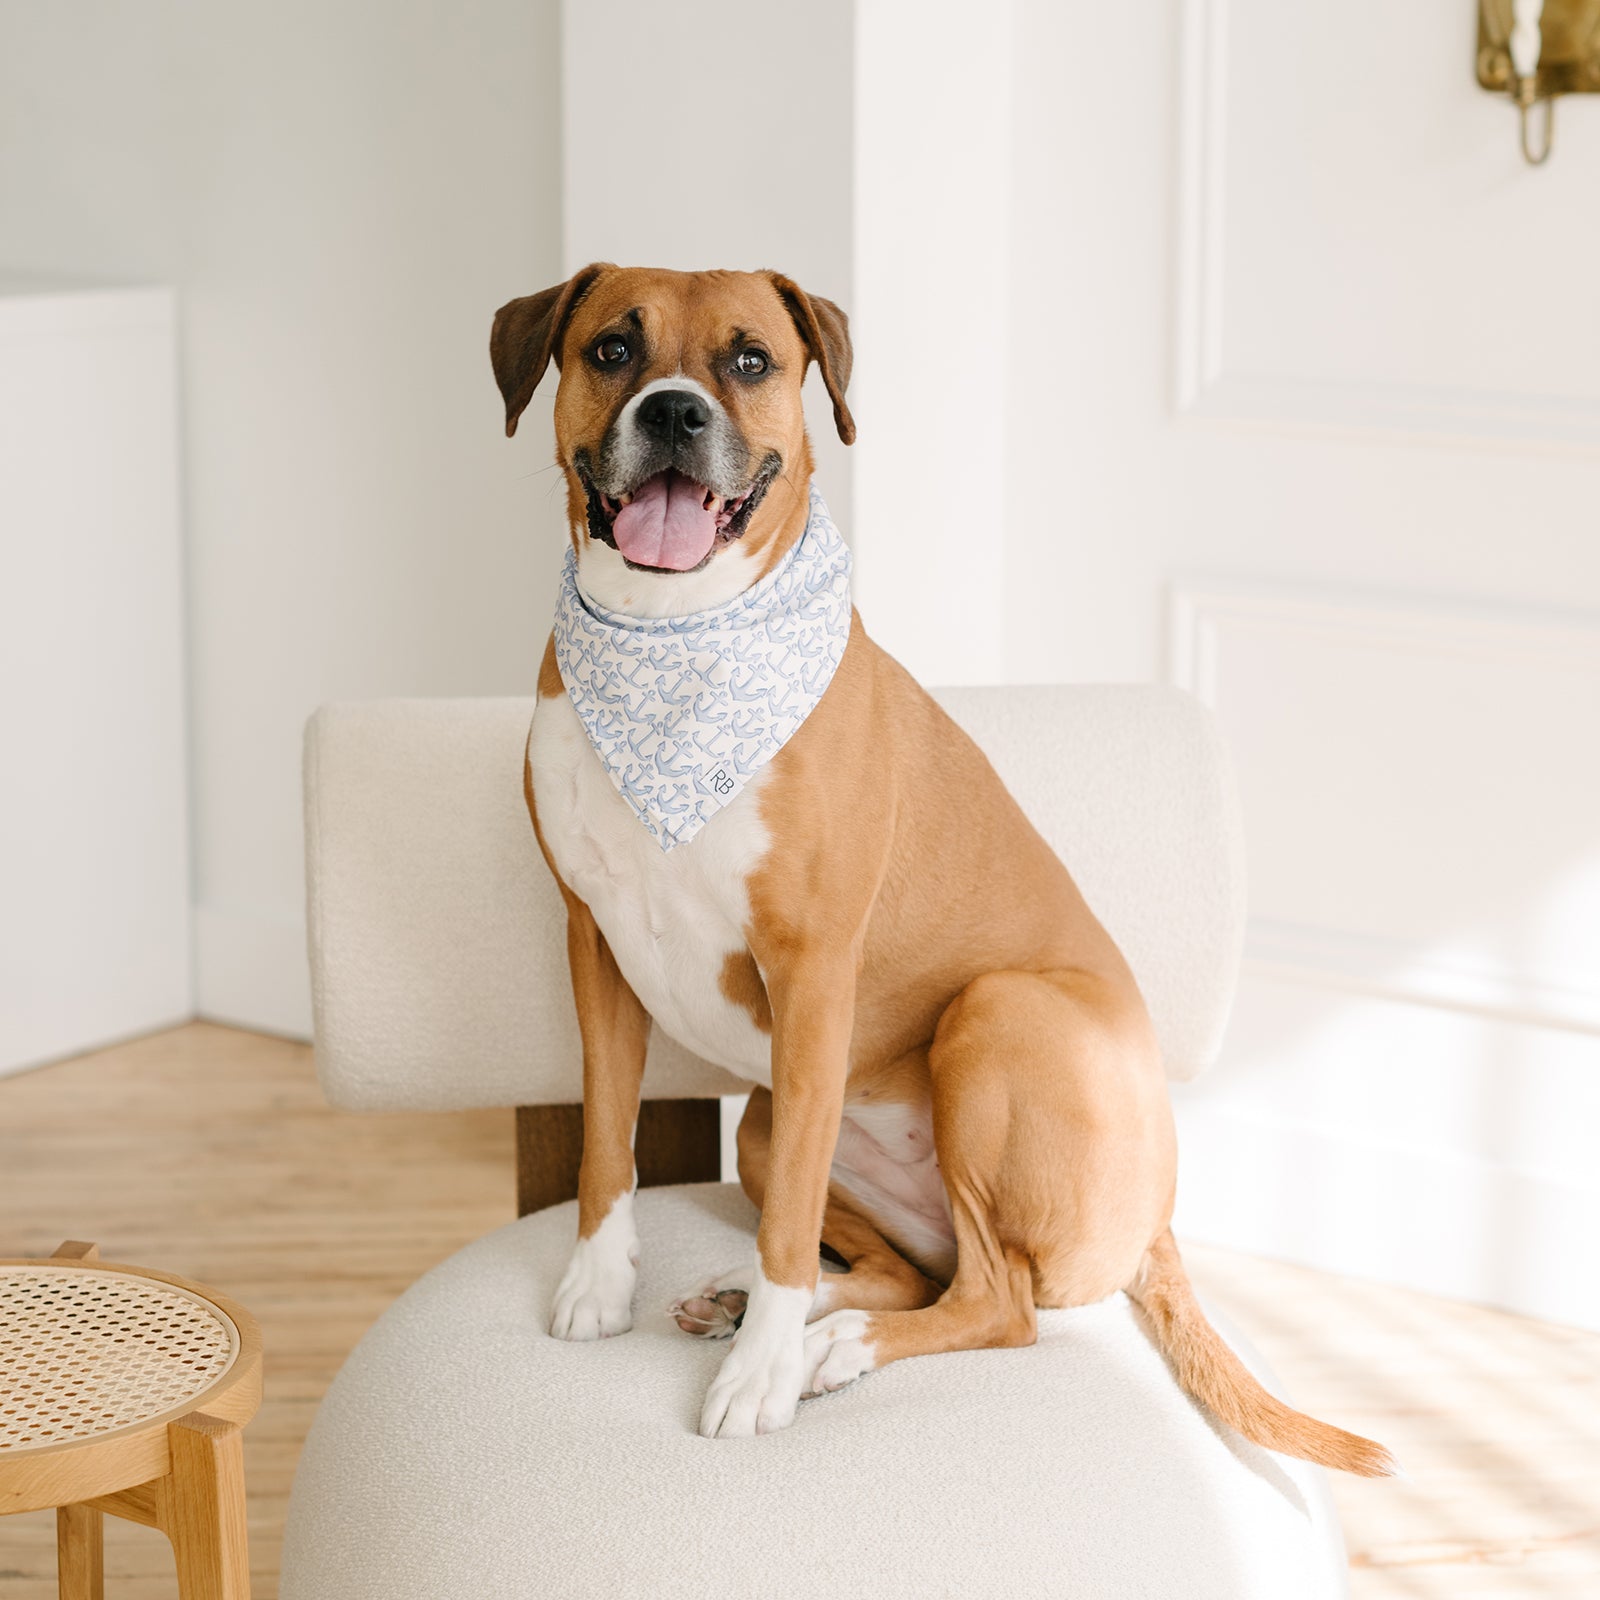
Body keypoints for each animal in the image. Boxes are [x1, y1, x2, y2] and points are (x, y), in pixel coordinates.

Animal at [492, 265, 1395, 1472]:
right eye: (611, 350)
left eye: (749, 360)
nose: (675, 412)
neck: (676, 638)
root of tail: (1159, 1212)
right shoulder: (593, 942)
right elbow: (605, 1135)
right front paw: (601, 1282)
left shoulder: (814, 976)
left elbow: (789, 1234)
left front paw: (760, 1377)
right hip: (774, 1120)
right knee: (915, 1270)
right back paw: (758, 1304)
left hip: (992, 1015)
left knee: (997, 1299)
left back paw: (819, 1347)